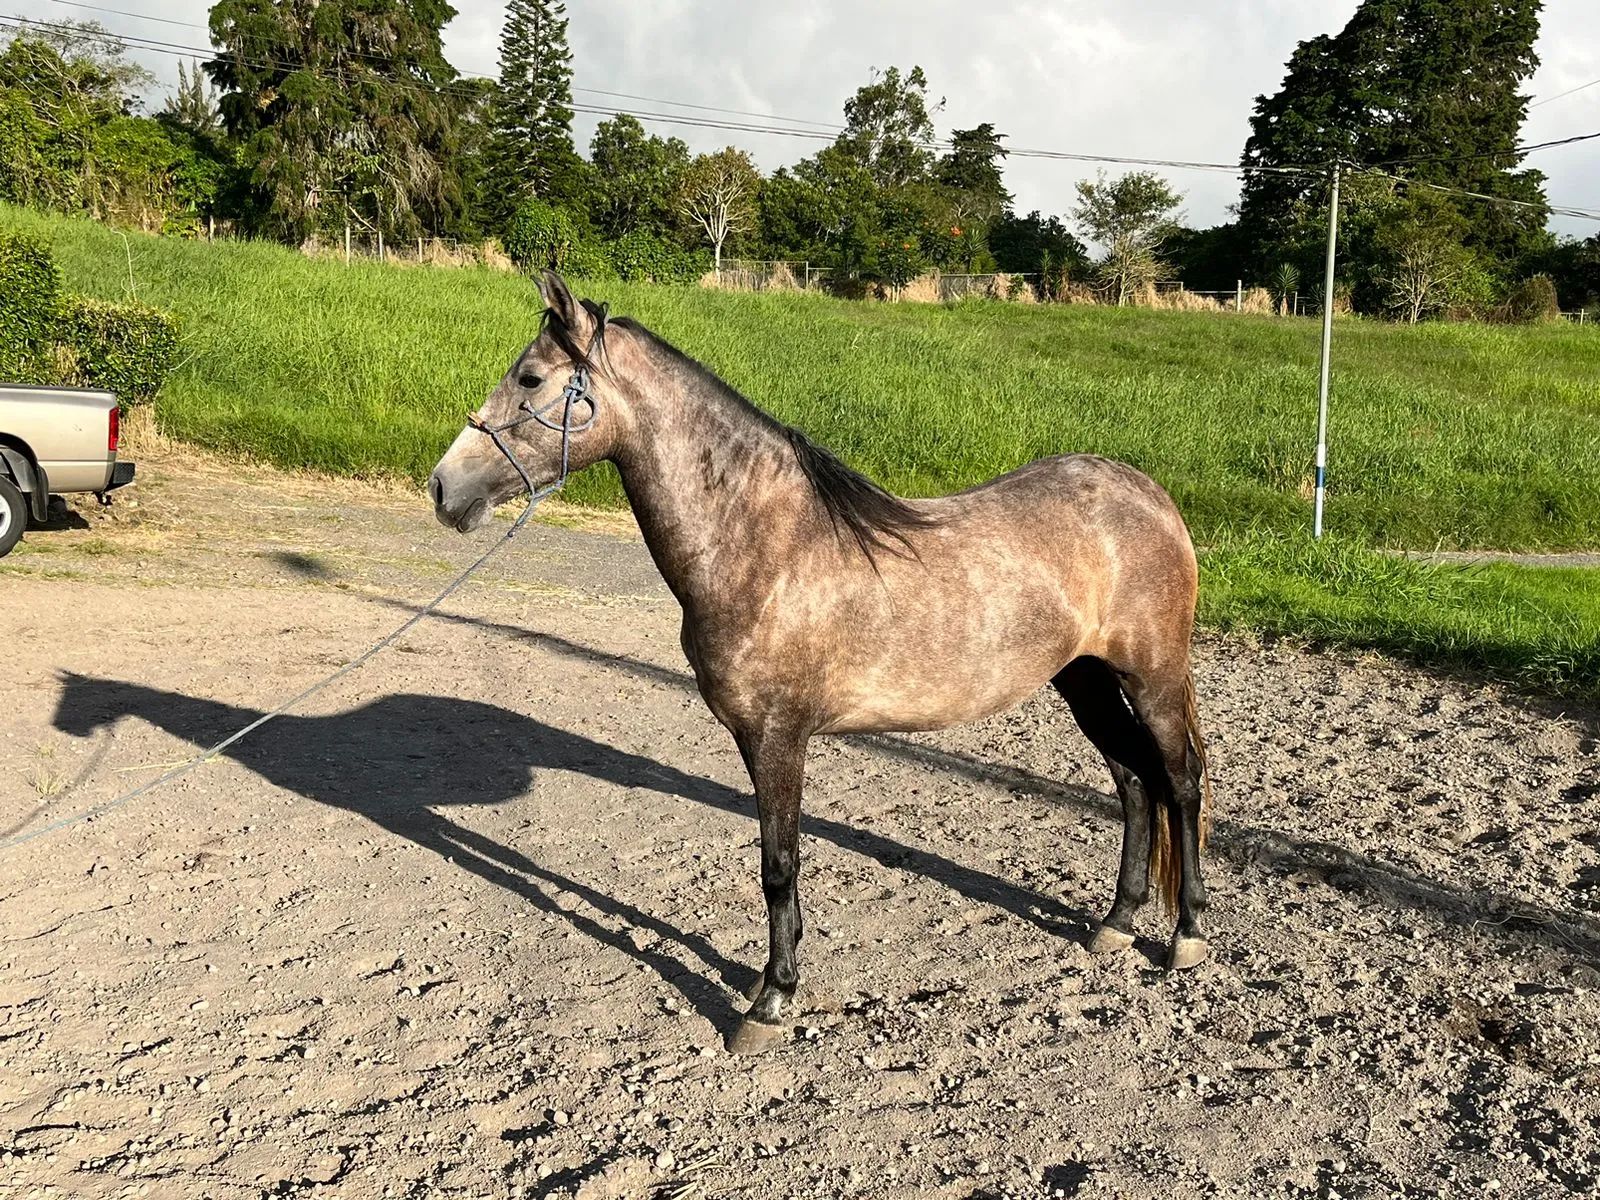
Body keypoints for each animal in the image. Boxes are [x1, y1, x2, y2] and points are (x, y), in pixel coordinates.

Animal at [429, 272, 1213, 1053]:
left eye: (531, 378)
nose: (444, 489)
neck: (764, 546)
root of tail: (1147, 494)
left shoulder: (777, 737)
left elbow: (778, 866)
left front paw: (770, 1001)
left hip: (1150, 678)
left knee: (1178, 781)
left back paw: (1186, 935)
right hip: (1083, 678)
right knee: (1132, 780)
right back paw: (1115, 923)